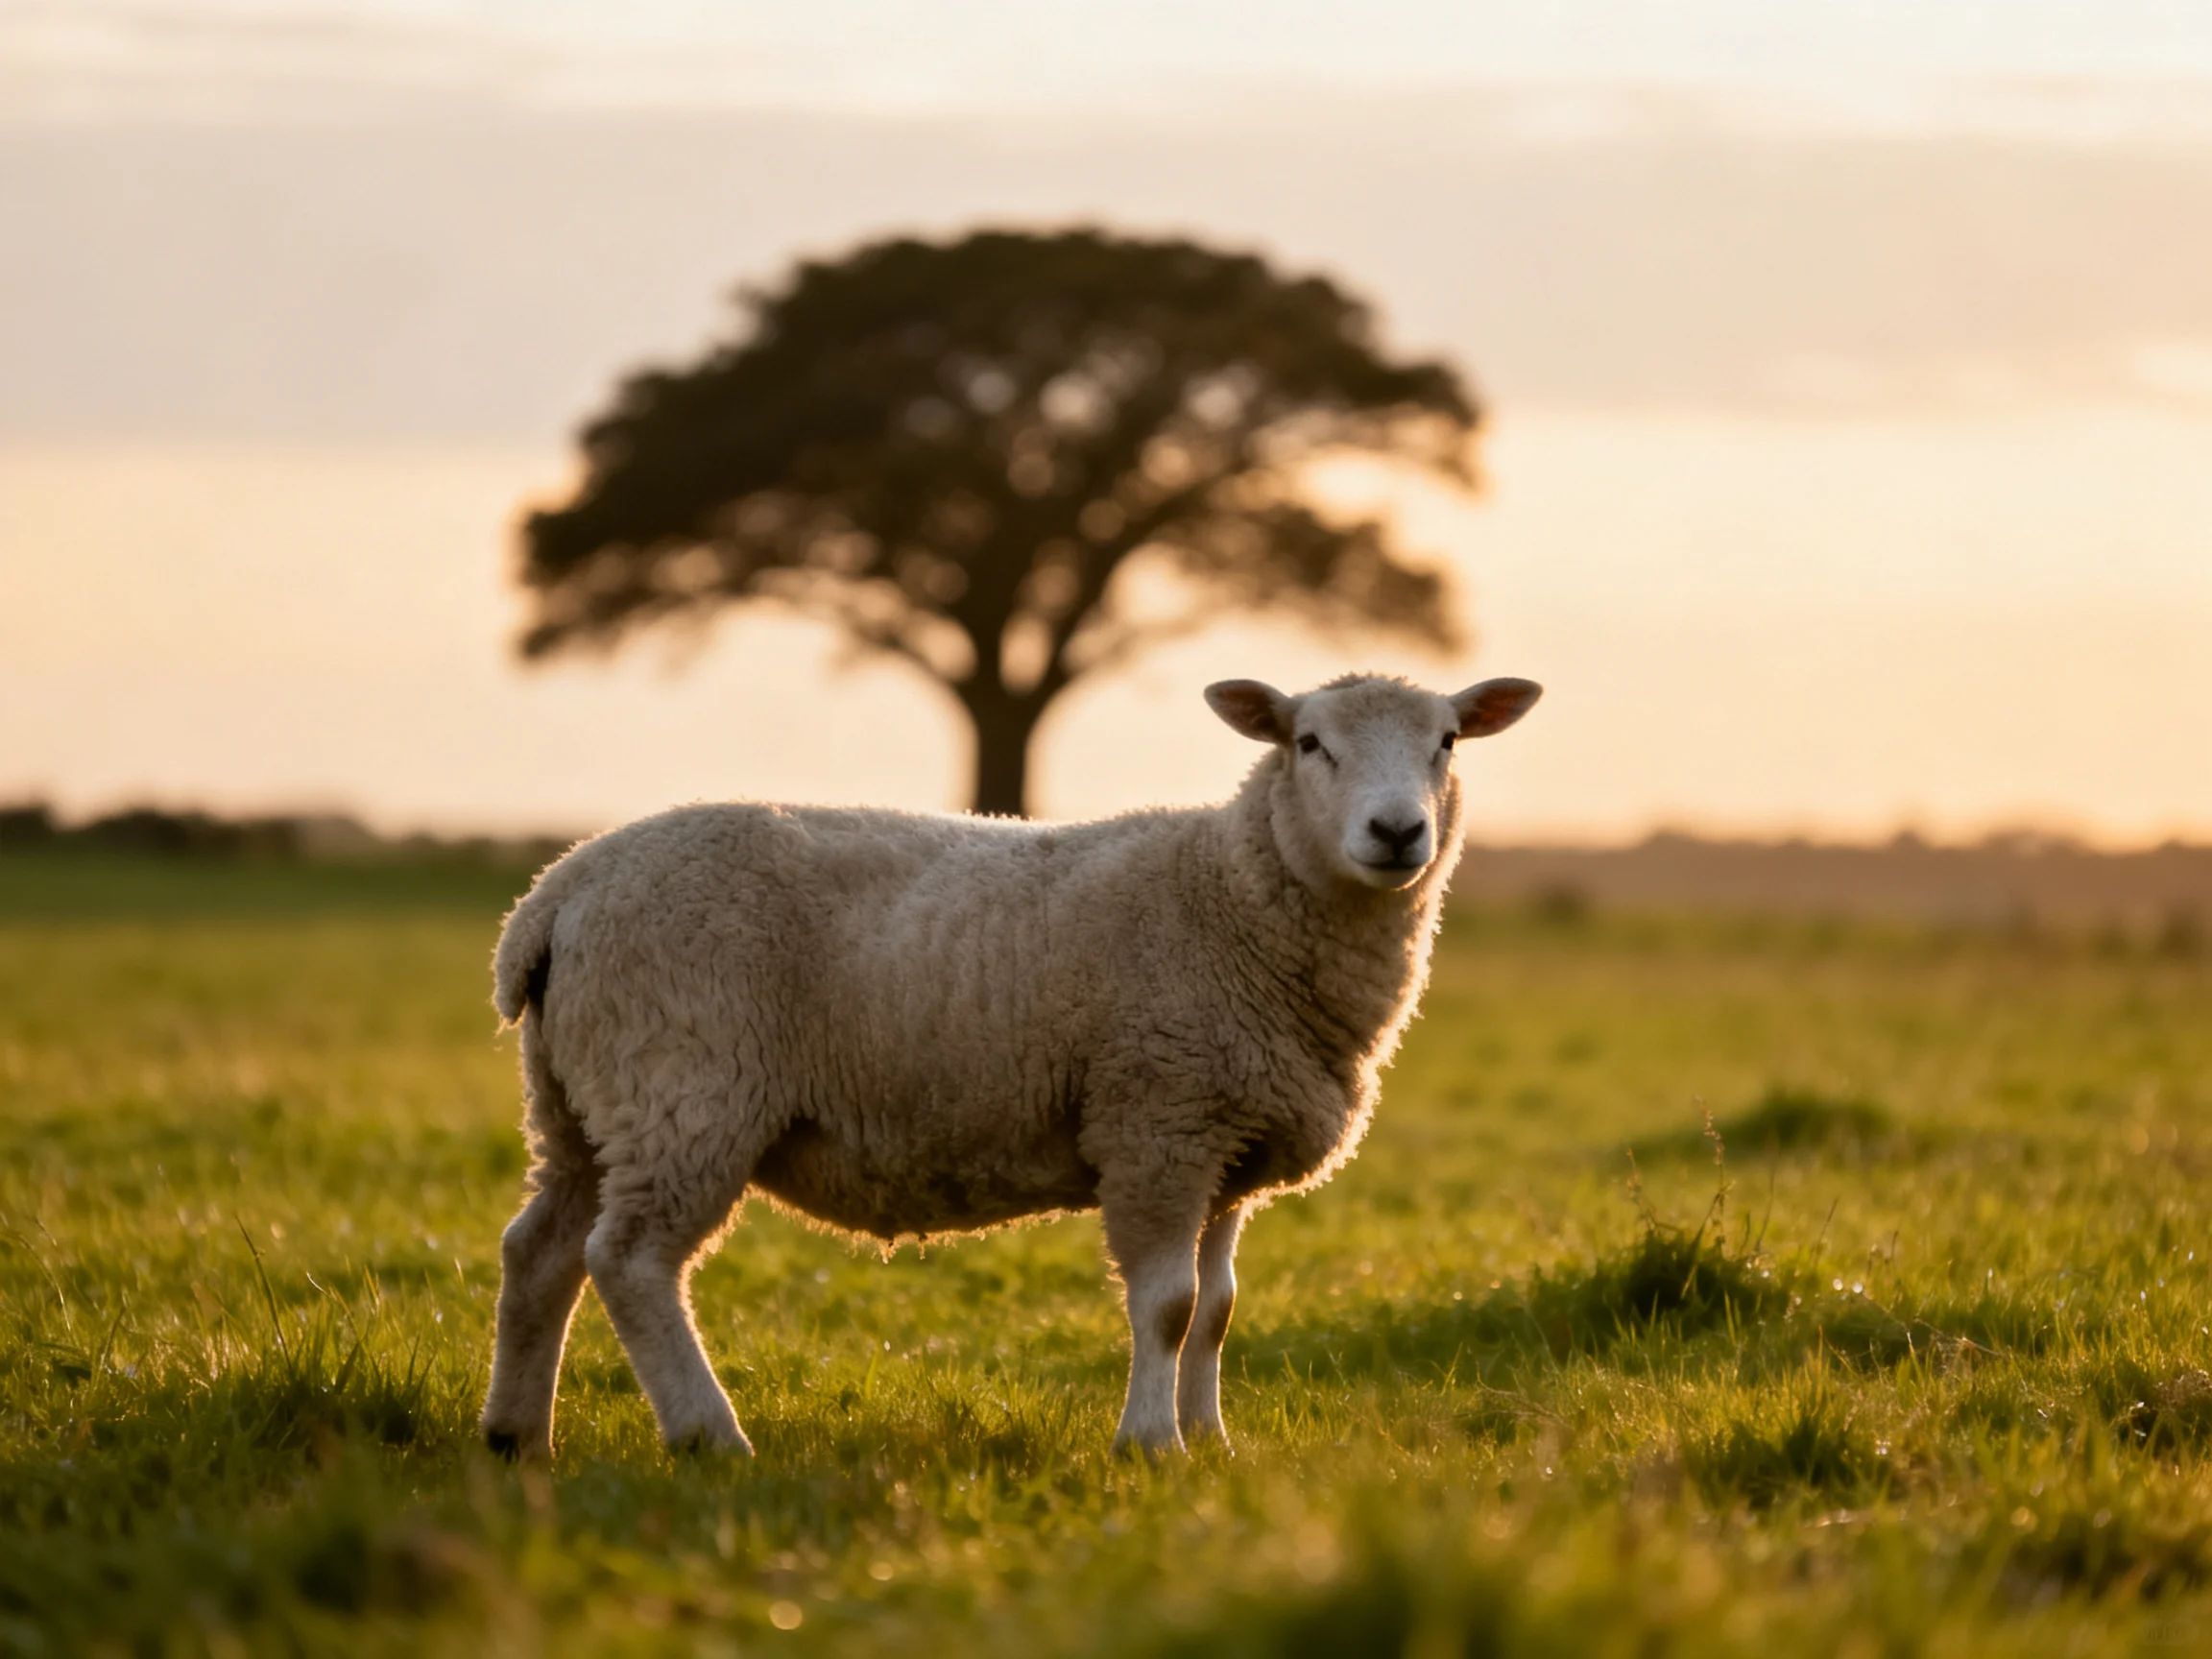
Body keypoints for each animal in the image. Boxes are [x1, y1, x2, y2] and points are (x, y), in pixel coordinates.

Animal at [478, 671, 1541, 1460]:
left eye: (1449, 741)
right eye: (1309, 742)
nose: (1397, 832)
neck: (1234, 893)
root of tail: (556, 894)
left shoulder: (1225, 1147)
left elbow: (1218, 1312)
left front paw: (1212, 1443)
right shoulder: (1158, 1124)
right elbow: (1167, 1307)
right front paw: (1150, 1446)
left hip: (581, 1103)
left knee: (540, 1251)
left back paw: (517, 1438)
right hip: (684, 1086)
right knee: (629, 1261)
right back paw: (709, 1437)